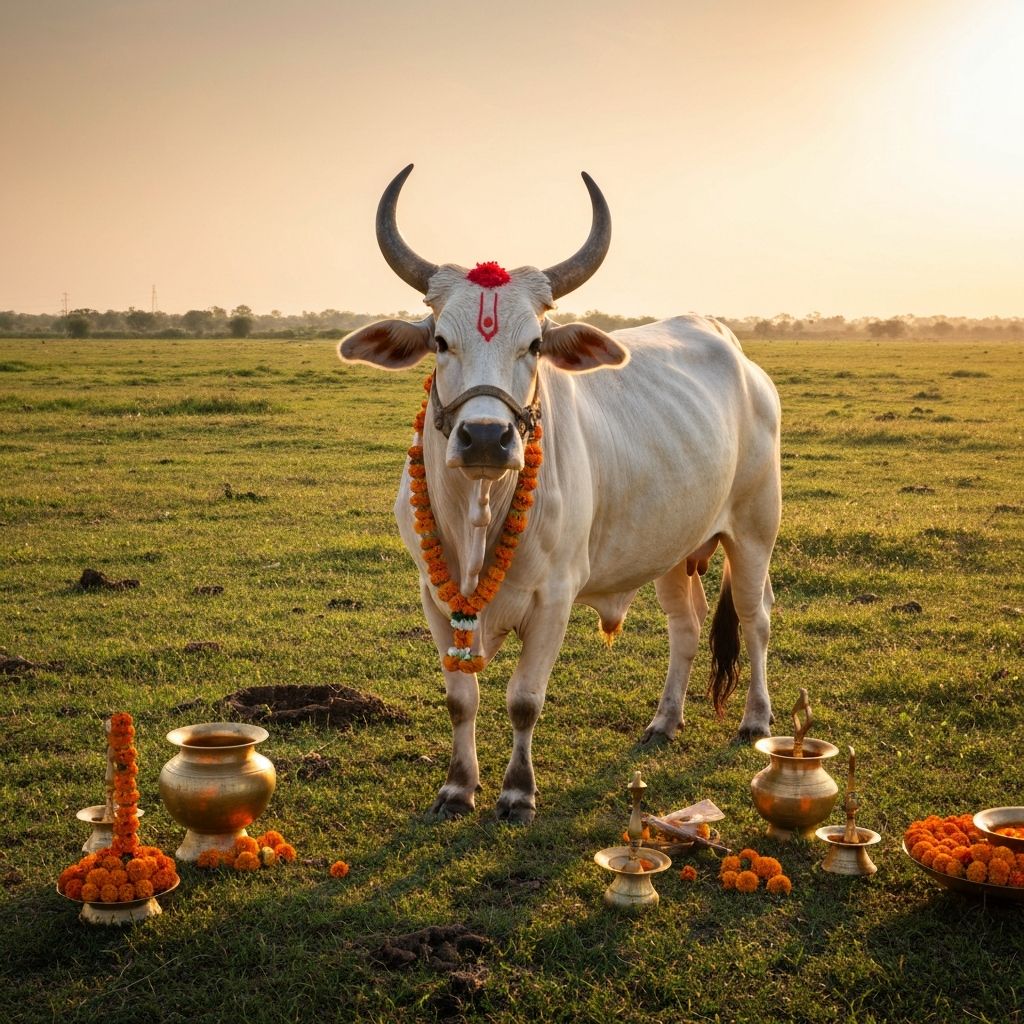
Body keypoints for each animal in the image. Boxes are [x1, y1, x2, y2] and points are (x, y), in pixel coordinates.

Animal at [340, 165, 781, 823]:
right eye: (440, 341)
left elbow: (524, 699)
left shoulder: (554, 598)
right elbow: (461, 699)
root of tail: (734, 347)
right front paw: (457, 787)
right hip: (672, 549)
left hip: (753, 531)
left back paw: (756, 720)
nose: (486, 438)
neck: (480, 514)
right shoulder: (433, 597)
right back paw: (664, 722)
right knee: (685, 627)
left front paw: (517, 792)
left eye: (535, 345)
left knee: (755, 619)